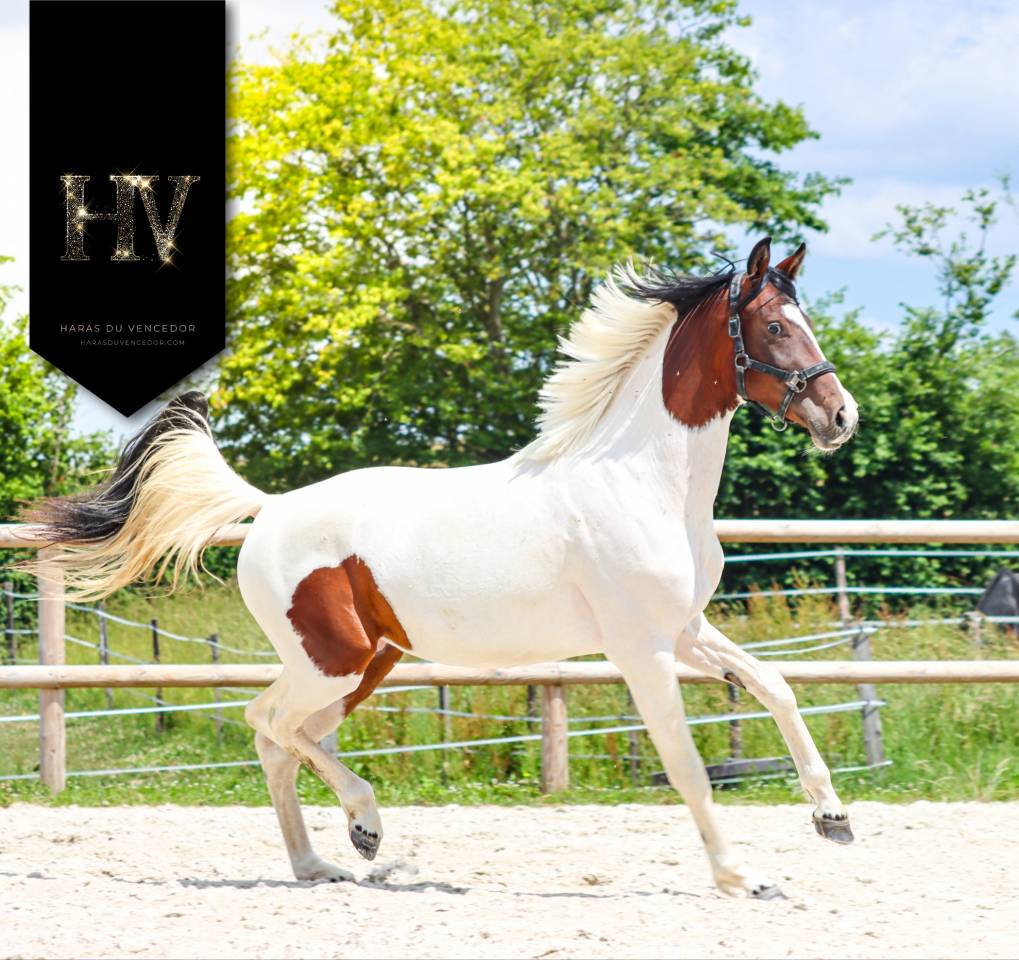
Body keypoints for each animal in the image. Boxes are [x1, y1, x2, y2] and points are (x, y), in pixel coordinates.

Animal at [23, 236, 858, 898]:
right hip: (333, 661)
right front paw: (739, 877)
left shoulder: (684, 630)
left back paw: (319, 864)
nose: (840, 416)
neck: (639, 481)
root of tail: (270, 508)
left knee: (284, 738)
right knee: (269, 722)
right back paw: (362, 826)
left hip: (367, 664)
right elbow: (684, 762)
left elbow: (777, 687)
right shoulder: (640, 649)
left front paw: (833, 819)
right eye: (775, 326)